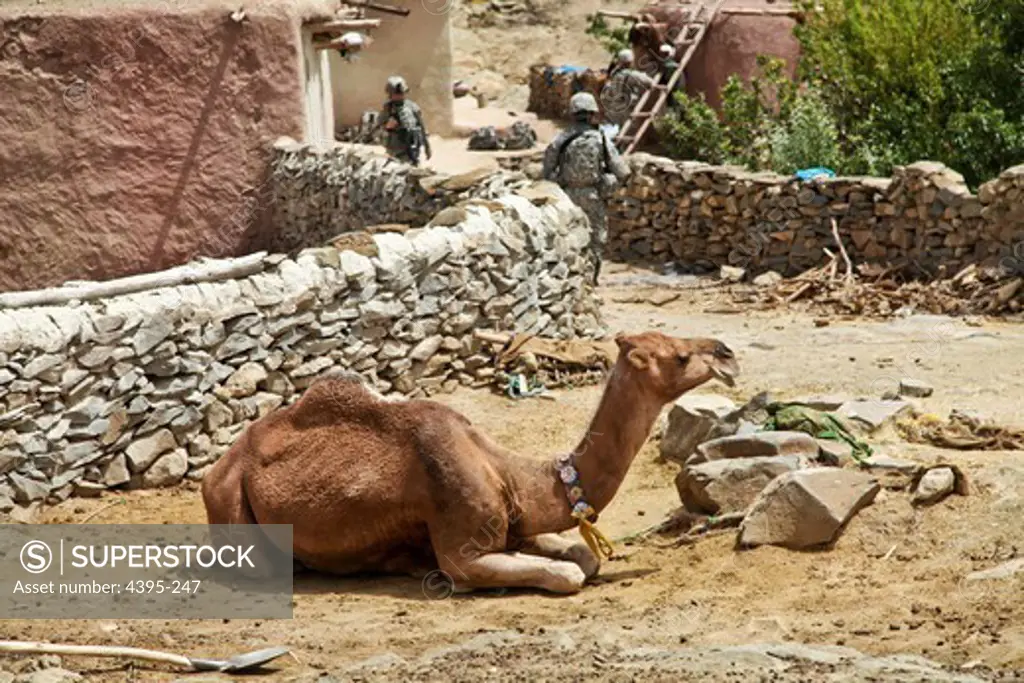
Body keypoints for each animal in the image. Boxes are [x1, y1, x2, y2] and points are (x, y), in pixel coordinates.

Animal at [199, 331, 741, 593]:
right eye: (678, 357)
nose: (727, 354)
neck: (511, 472)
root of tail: (218, 468)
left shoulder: (514, 523)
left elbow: (582, 557)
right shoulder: (464, 544)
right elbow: (568, 575)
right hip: (230, 503)